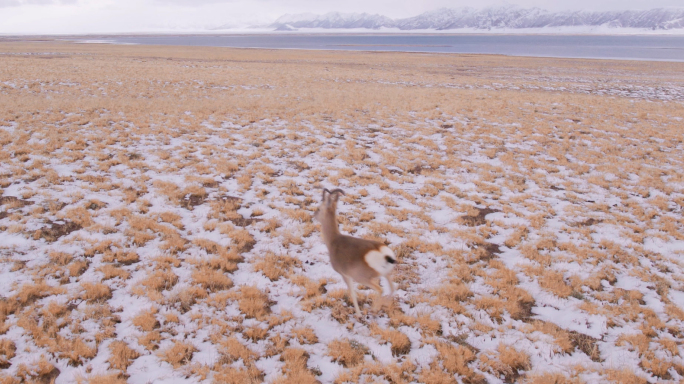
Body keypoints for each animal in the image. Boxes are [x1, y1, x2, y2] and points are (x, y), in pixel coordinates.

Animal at [314, 188, 398, 316]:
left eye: (319, 208)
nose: (314, 215)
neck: (335, 240)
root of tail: (385, 254)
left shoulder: (346, 276)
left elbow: (352, 294)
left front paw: (358, 314)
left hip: (364, 279)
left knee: (380, 289)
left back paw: (374, 308)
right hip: (386, 274)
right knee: (392, 288)